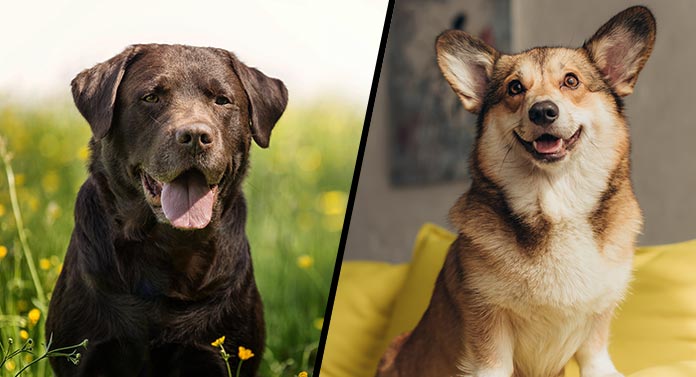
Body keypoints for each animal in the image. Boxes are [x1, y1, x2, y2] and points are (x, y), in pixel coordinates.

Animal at [378, 5, 656, 376]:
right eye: (514, 88)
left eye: (571, 81)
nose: (543, 111)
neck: (556, 203)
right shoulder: (488, 327)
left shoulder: (599, 318)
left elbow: (596, 356)